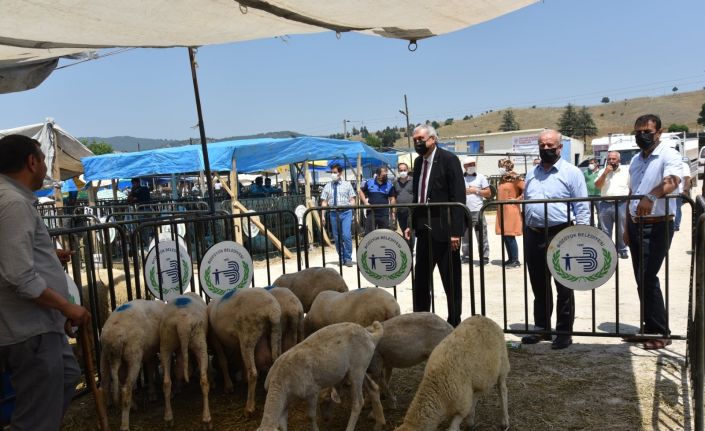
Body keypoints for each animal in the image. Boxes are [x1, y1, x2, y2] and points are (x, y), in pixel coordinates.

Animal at [99, 299, 166, 431]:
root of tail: (114, 338)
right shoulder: (149, 351)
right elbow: (151, 368)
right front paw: (152, 393)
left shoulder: (148, 351)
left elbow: (150, 368)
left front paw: (152, 392)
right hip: (133, 355)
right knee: (126, 389)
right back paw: (125, 424)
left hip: (105, 356)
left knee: (106, 385)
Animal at [159, 292, 211, 429]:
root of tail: (183, 324)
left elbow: (178, 370)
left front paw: (177, 388)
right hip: (199, 340)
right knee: (204, 381)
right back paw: (207, 419)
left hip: (166, 341)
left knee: (166, 382)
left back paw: (168, 418)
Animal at [208, 288, 282, 417]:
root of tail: (272, 309)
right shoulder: (237, 342)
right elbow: (241, 361)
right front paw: (243, 380)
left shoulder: (215, 338)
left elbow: (223, 361)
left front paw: (228, 386)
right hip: (275, 332)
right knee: (274, 361)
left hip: (248, 336)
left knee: (253, 372)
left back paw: (249, 408)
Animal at [256, 322, 385, 431]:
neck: (278, 383)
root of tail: (370, 336)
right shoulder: (285, 402)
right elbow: (282, 425)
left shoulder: (312, 391)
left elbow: (310, 416)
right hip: (360, 368)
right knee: (374, 389)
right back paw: (379, 423)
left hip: (357, 369)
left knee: (358, 402)